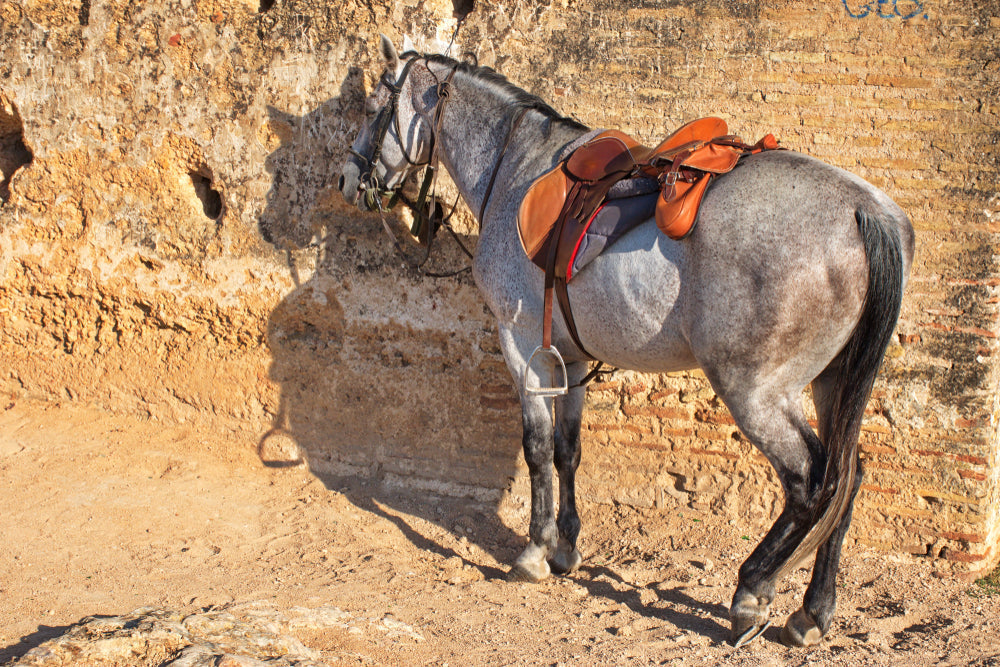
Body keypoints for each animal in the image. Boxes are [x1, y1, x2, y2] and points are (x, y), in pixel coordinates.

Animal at [339, 36, 914, 648]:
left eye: (373, 107)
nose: (349, 179)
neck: (514, 168)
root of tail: (866, 212)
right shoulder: (568, 357)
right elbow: (567, 449)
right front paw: (565, 548)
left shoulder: (520, 345)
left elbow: (537, 448)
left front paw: (533, 552)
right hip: (835, 382)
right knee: (848, 477)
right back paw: (813, 611)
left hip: (756, 391)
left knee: (809, 483)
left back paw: (752, 591)